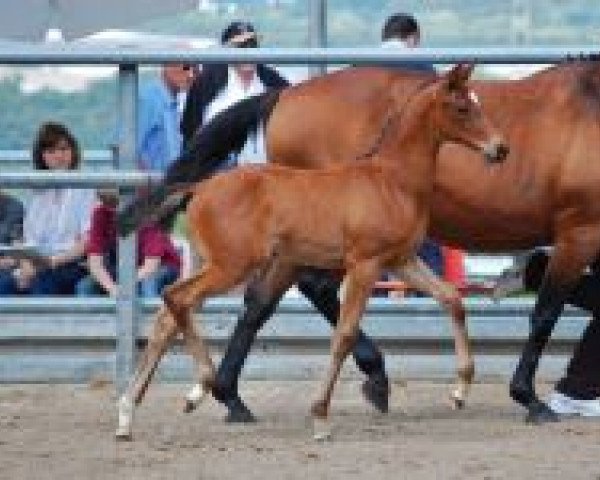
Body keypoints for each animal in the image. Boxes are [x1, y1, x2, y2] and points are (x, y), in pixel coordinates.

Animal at [118, 59, 600, 424]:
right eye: (463, 107)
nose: (500, 150)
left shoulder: (401, 259)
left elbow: (456, 299)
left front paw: (469, 389)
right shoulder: (580, 231)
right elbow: (546, 312)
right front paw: (532, 399)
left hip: (260, 254)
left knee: (229, 305)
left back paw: (211, 398)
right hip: (256, 258)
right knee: (206, 298)